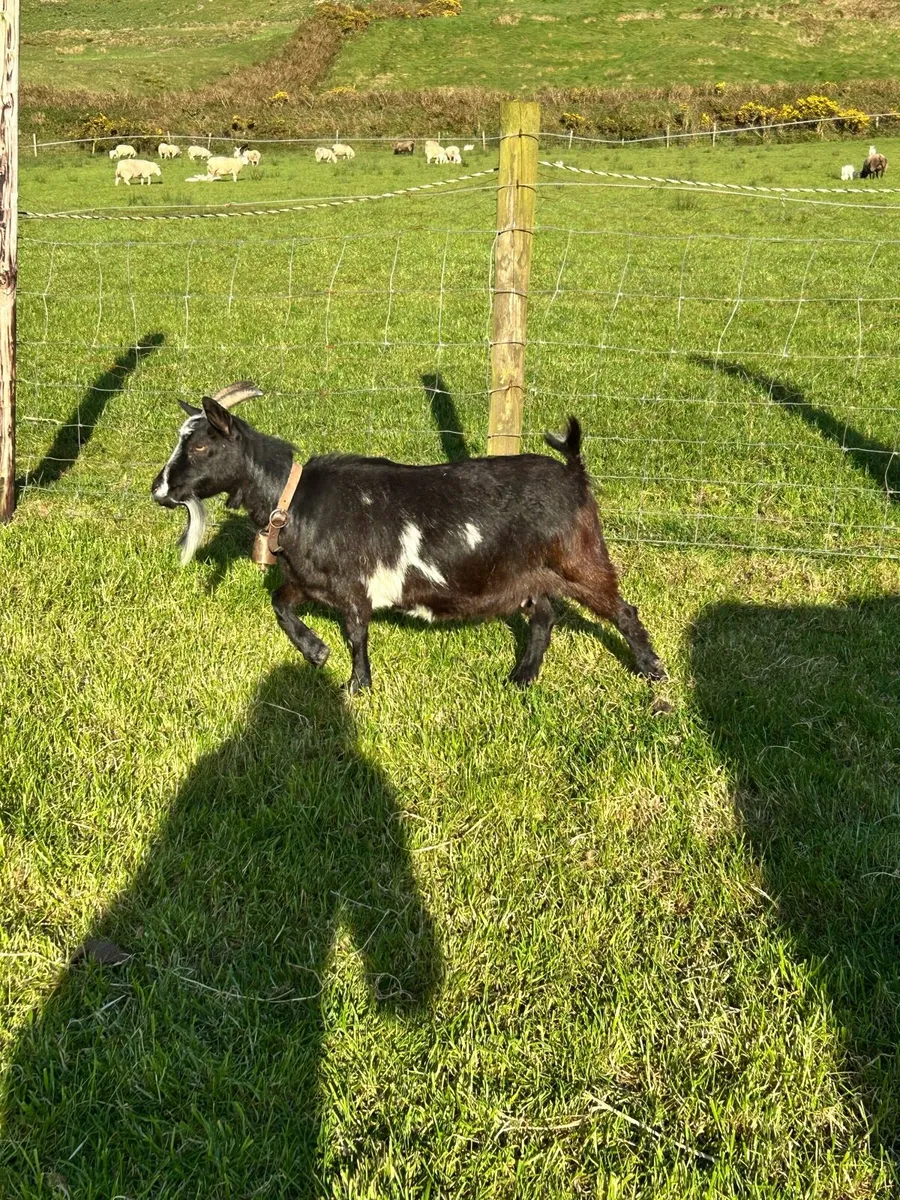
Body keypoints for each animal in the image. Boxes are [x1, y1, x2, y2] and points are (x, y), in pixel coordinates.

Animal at [151, 390, 667, 693]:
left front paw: (357, 687)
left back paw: (652, 670)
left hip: (580, 560)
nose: (159, 489)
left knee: (622, 610)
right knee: (543, 616)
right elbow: (279, 603)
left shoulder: (353, 587)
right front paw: (316, 651)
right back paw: (521, 678)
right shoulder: (309, 580)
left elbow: (357, 635)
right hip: (528, 573)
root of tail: (574, 473)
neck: (295, 499)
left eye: (200, 446)